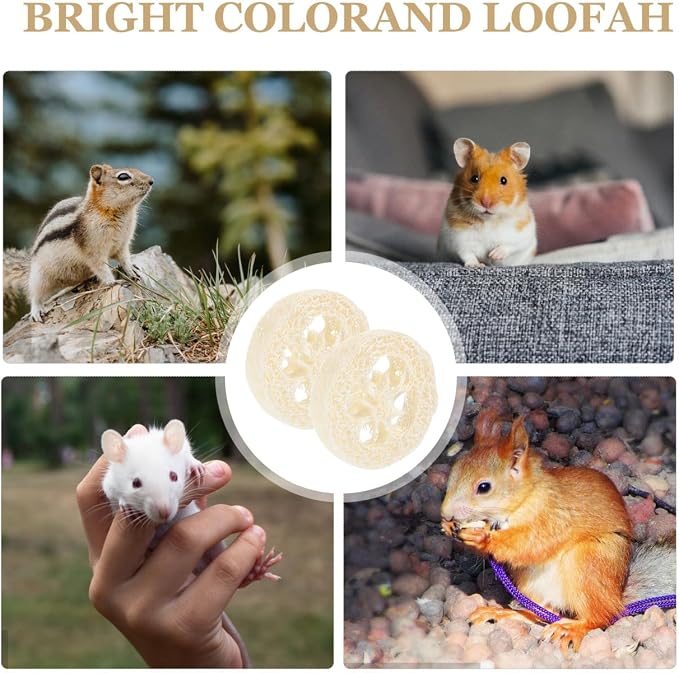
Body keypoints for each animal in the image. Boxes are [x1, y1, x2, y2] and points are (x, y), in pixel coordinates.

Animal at [437, 138, 537, 267]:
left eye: (504, 180)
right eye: (474, 178)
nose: (486, 202)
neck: (489, 221)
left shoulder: (522, 234)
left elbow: (510, 246)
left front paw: (493, 255)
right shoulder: (459, 238)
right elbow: (467, 254)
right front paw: (476, 265)